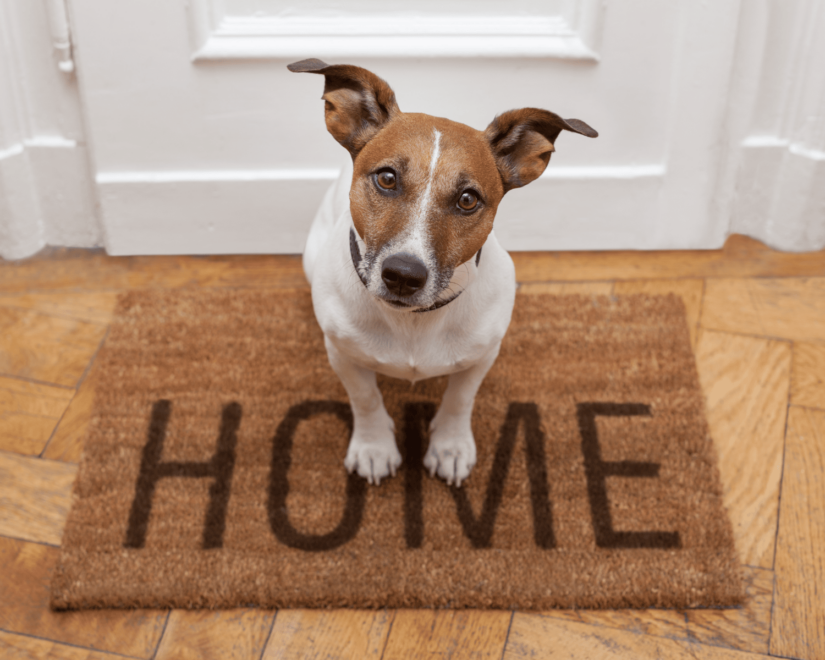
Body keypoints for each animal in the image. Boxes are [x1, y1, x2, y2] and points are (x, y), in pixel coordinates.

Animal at [286, 60, 596, 484]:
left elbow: (460, 399)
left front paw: (450, 446)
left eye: (468, 199)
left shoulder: (483, 355)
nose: (403, 275)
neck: (414, 322)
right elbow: (365, 398)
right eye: (387, 178)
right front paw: (373, 446)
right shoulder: (342, 353)